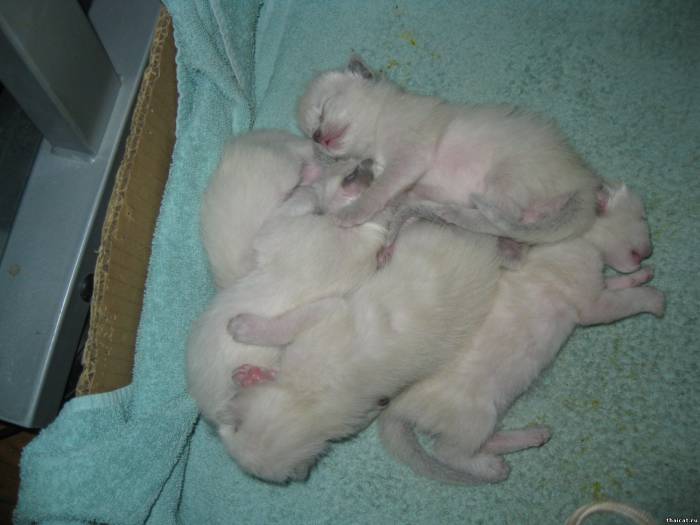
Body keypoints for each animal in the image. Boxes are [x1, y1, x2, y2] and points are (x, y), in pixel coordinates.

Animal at [377, 182, 664, 484]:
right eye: (643, 218)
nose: (650, 250)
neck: (579, 239)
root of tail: (396, 407)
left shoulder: (597, 289)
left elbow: (617, 284)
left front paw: (641, 276)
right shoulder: (593, 306)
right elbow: (628, 301)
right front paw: (654, 299)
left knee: (480, 442)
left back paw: (533, 435)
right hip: (478, 416)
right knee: (450, 452)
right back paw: (493, 467)